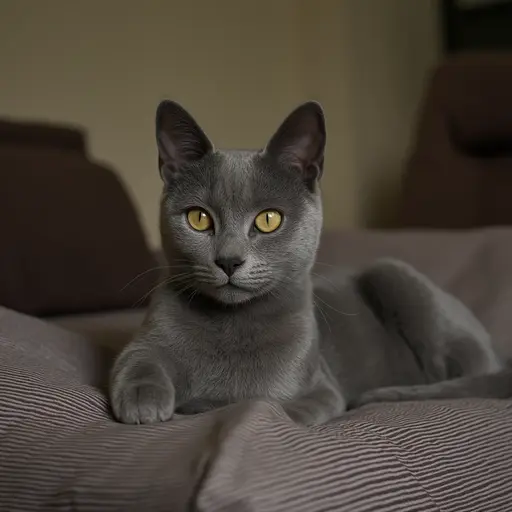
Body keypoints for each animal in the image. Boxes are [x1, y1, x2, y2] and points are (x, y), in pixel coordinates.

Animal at [110, 99, 510, 424]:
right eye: (198, 218)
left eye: (268, 220)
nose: (229, 260)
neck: (231, 324)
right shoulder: (142, 344)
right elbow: (135, 362)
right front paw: (144, 401)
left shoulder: (319, 389)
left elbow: (266, 405)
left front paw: (206, 404)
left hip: (394, 274)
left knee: (476, 378)